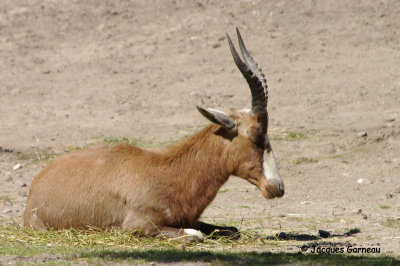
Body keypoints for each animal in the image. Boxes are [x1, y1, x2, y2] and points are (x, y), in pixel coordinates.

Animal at [23, 28, 284, 241]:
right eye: (255, 134)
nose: (277, 187)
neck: (168, 173)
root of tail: (36, 187)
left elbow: (231, 230)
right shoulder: (140, 225)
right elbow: (195, 235)